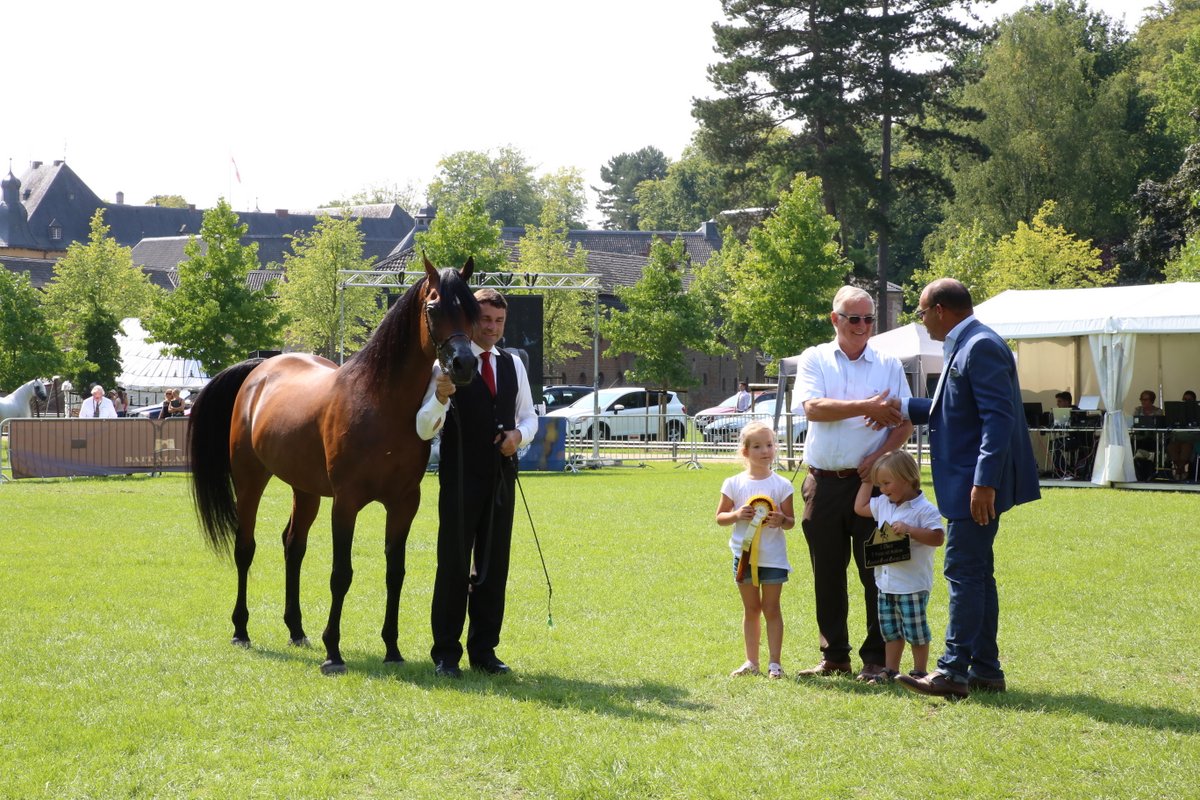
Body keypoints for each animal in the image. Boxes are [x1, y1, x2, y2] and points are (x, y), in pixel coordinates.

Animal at [187, 255, 477, 671]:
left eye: (472, 309)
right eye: (435, 307)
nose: (464, 364)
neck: (380, 402)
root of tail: (259, 370)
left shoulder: (404, 503)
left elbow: (396, 572)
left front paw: (392, 649)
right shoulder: (346, 502)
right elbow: (341, 574)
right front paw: (333, 652)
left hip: (305, 489)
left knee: (293, 545)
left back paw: (296, 629)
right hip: (249, 479)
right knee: (246, 547)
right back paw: (241, 630)